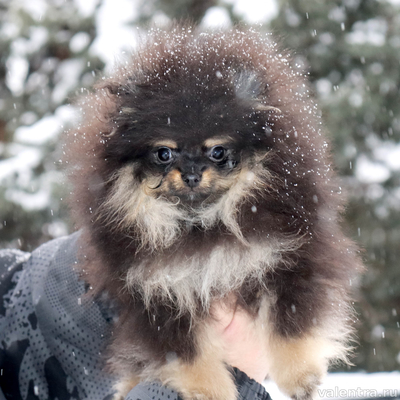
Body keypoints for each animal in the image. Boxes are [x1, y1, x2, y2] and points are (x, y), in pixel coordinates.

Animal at [65, 26, 362, 398]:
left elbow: (290, 318)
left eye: (218, 151)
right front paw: (210, 389)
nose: (192, 174)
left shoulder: (291, 252)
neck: (201, 225)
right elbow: (184, 352)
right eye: (164, 153)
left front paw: (300, 375)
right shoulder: (152, 290)